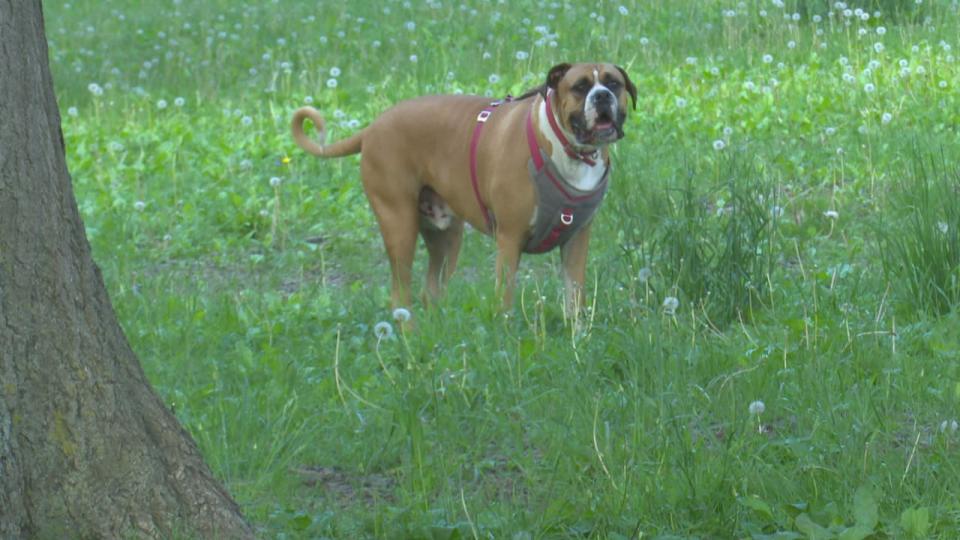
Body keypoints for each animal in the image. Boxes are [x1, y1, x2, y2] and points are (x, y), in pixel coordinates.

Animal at [292, 62, 636, 314]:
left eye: (613, 83)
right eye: (580, 87)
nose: (602, 96)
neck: (571, 151)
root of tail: (372, 127)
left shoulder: (576, 241)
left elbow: (575, 300)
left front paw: (577, 341)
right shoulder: (509, 241)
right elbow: (504, 301)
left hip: (445, 237)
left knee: (430, 290)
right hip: (399, 226)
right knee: (400, 296)